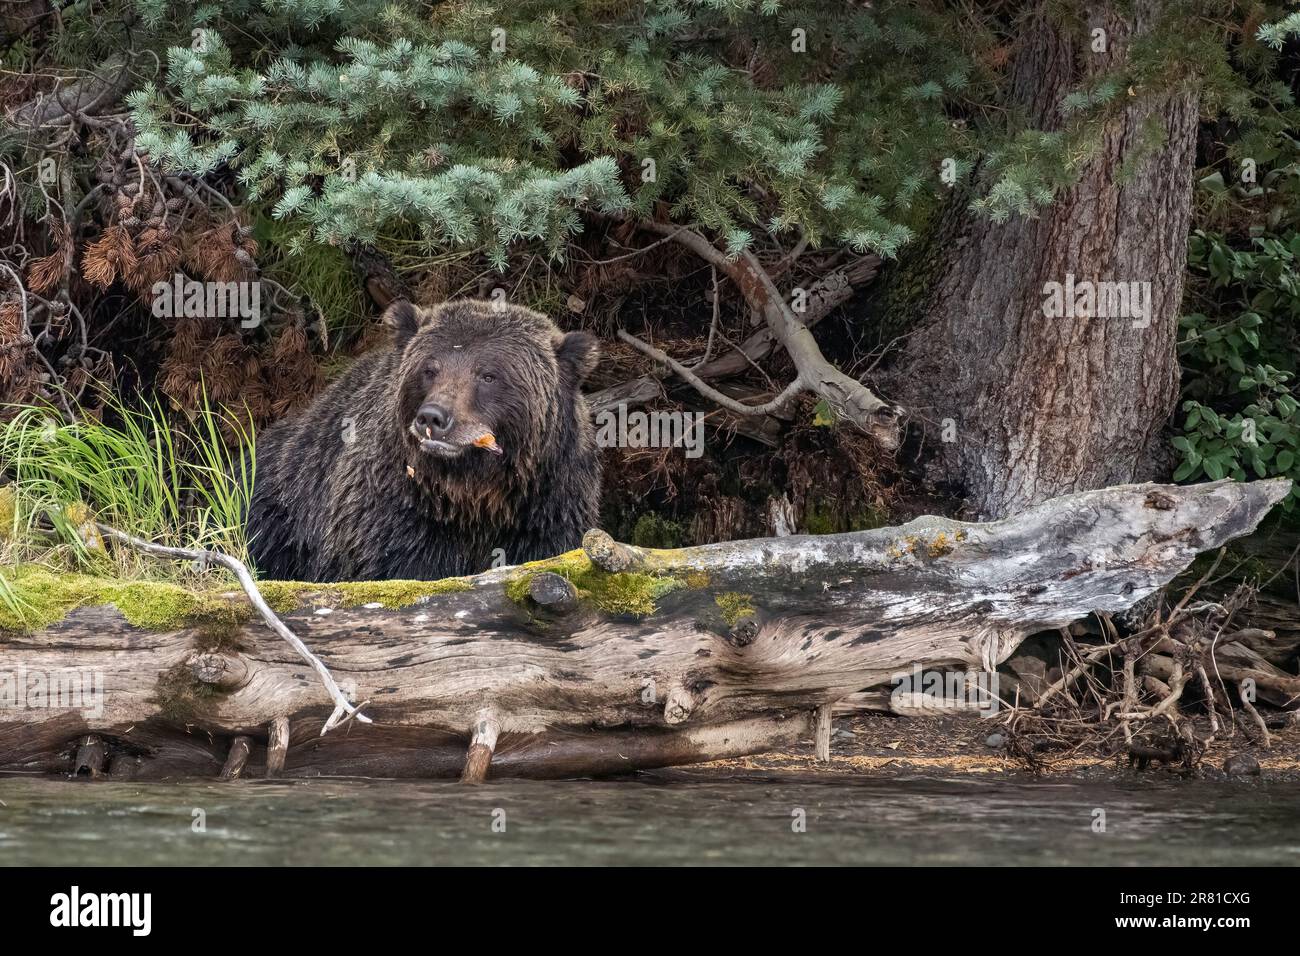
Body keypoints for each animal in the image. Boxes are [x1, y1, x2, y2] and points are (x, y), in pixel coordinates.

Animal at [245, 299, 600, 582]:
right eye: (430, 369)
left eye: (488, 375)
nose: (433, 417)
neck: (474, 496)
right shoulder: (394, 513)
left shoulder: (547, 509)